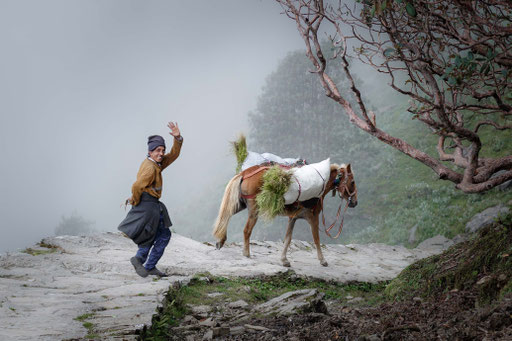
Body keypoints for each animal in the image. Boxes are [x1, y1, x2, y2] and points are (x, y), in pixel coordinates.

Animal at [211, 163, 356, 266]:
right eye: (353, 182)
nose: (354, 202)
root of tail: (245, 173)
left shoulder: (293, 218)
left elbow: (288, 239)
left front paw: (284, 260)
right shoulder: (313, 217)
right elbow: (316, 239)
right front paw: (322, 260)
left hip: (241, 203)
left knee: (226, 214)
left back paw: (221, 240)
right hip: (254, 209)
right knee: (246, 230)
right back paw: (246, 253)